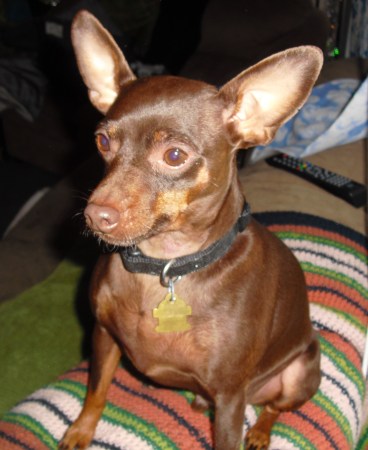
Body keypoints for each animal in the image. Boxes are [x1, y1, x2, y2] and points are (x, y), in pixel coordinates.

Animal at [59, 10, 322, 450]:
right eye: (102, 142)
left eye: (174, 155)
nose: (96, 214)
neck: (166, 264)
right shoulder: (103, 337)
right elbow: (97, 391)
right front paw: (80, 431)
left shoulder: (230, 397)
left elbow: (229, 437)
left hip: (301, 373)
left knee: (273, 407)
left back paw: (260, 433)